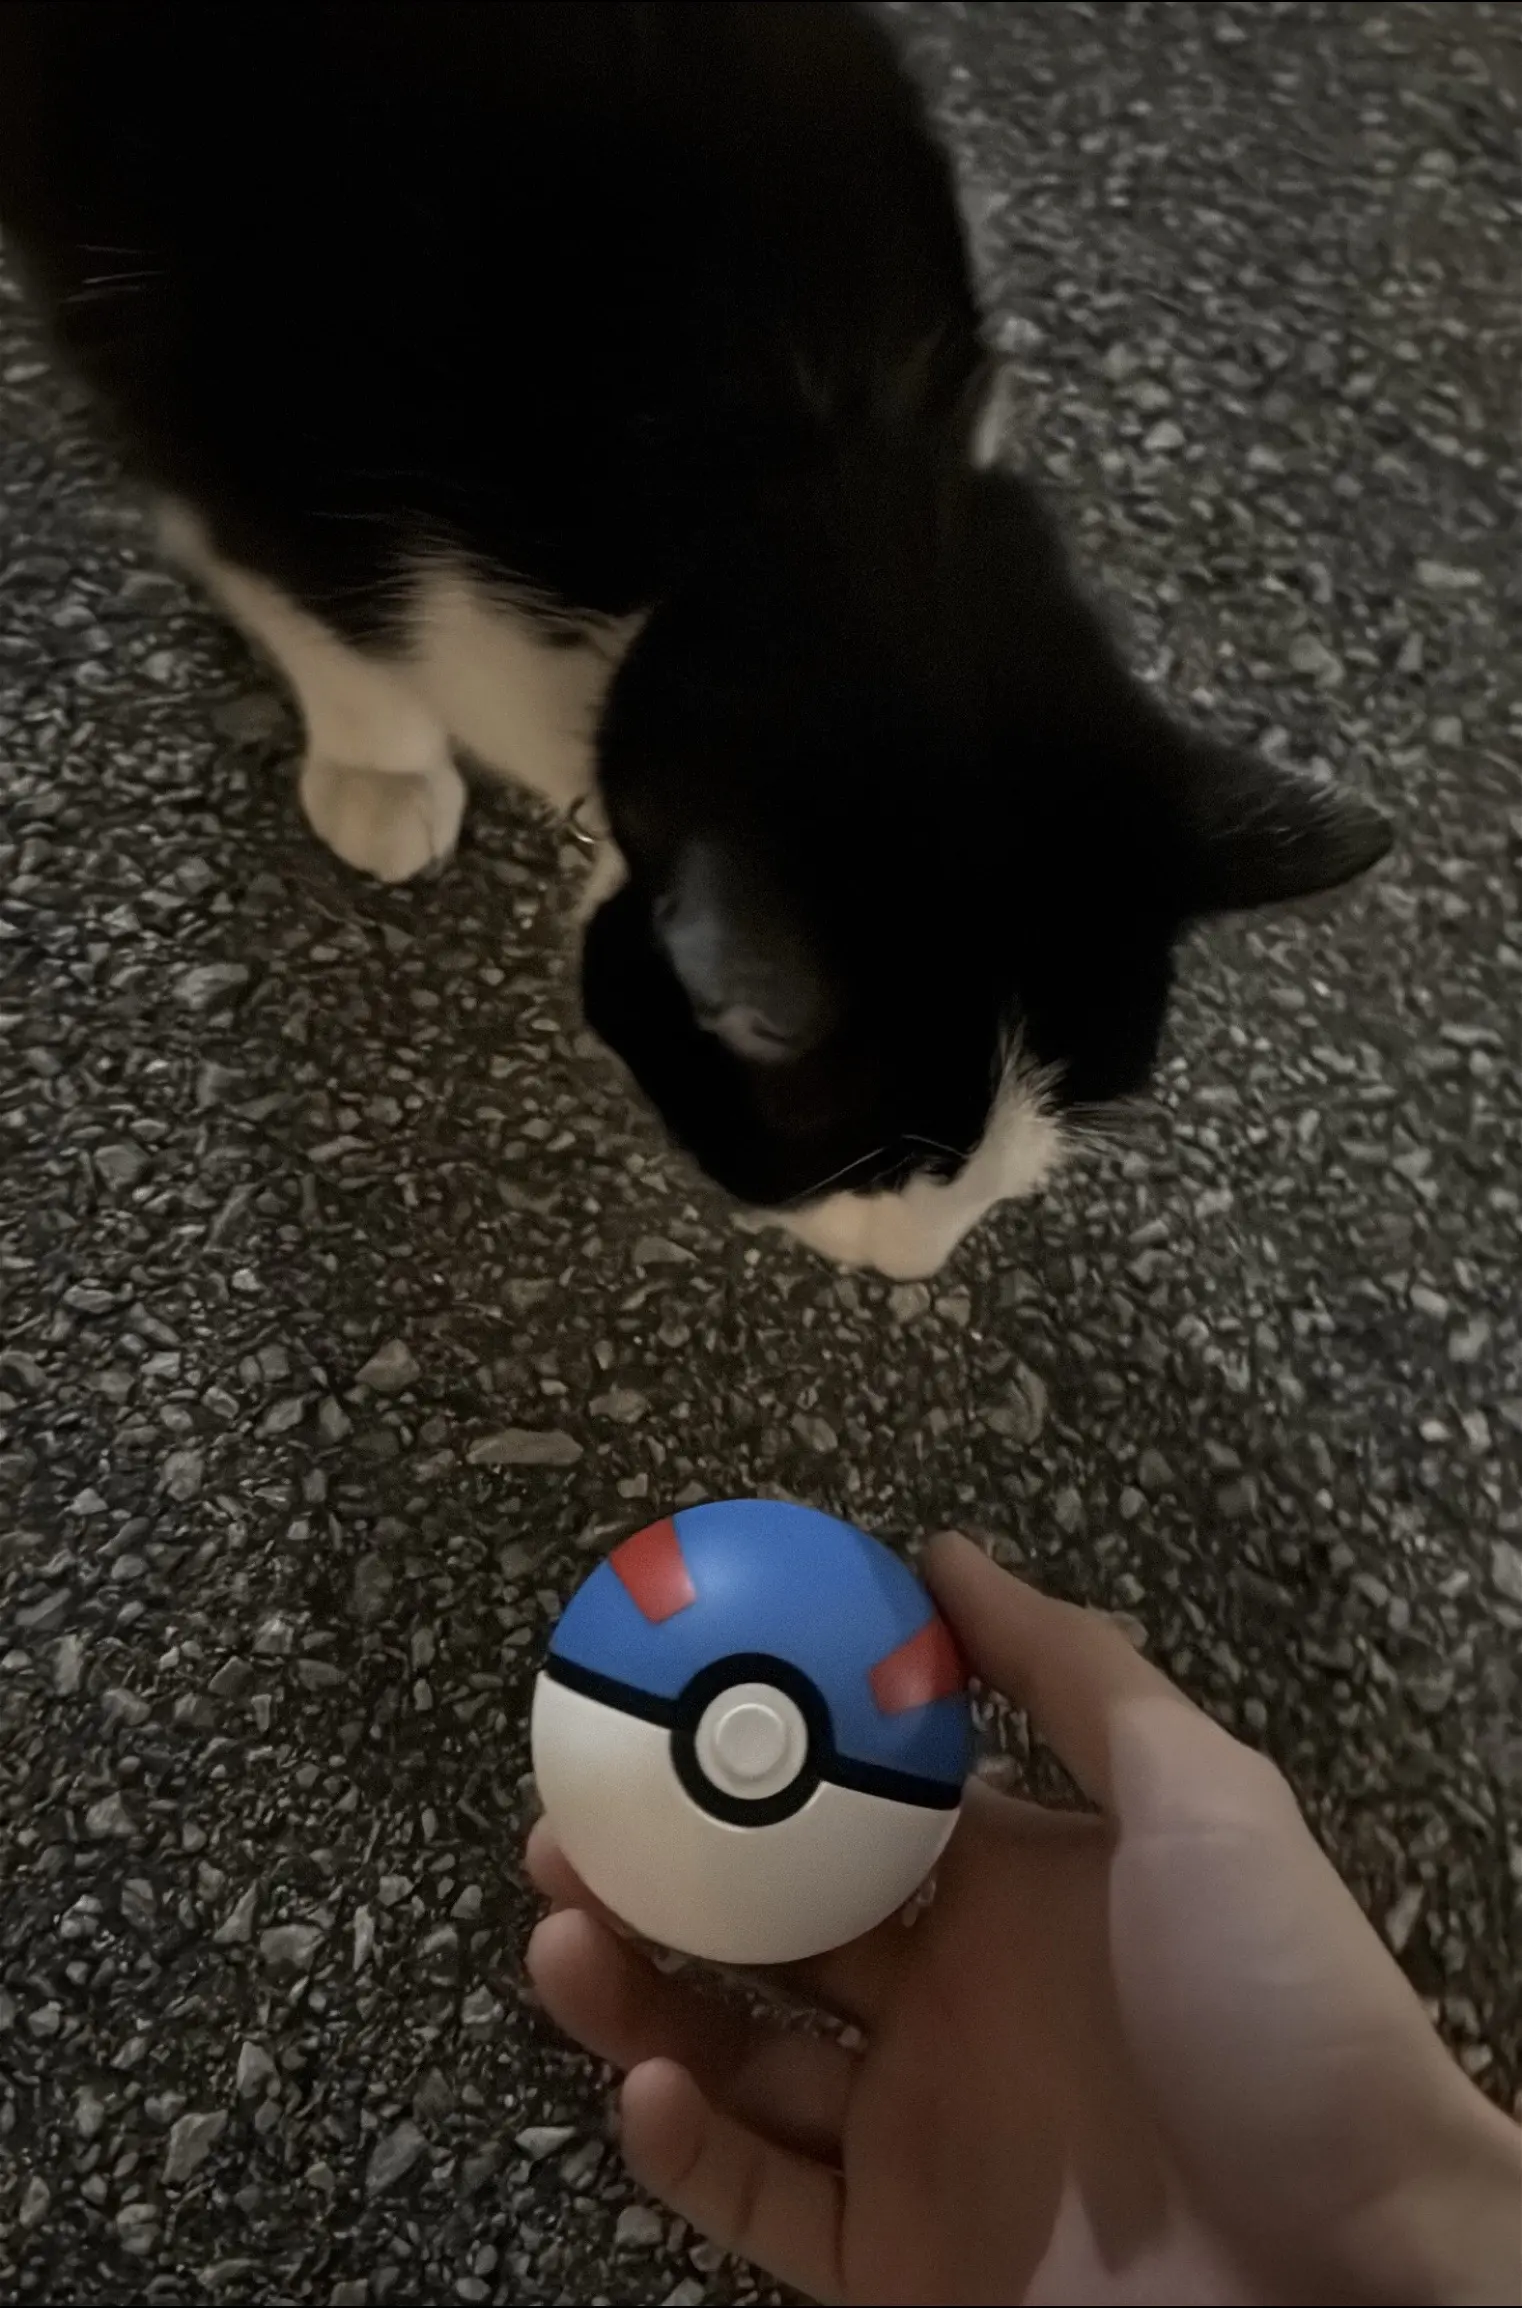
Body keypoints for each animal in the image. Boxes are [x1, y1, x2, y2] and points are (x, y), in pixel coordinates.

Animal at [0, 1, 1390, 1279]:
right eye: (868, 1170)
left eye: (1016, 1159)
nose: (917, 1269)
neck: (796, 470)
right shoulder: (235, 426)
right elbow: (317, 613)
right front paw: (382, 767)